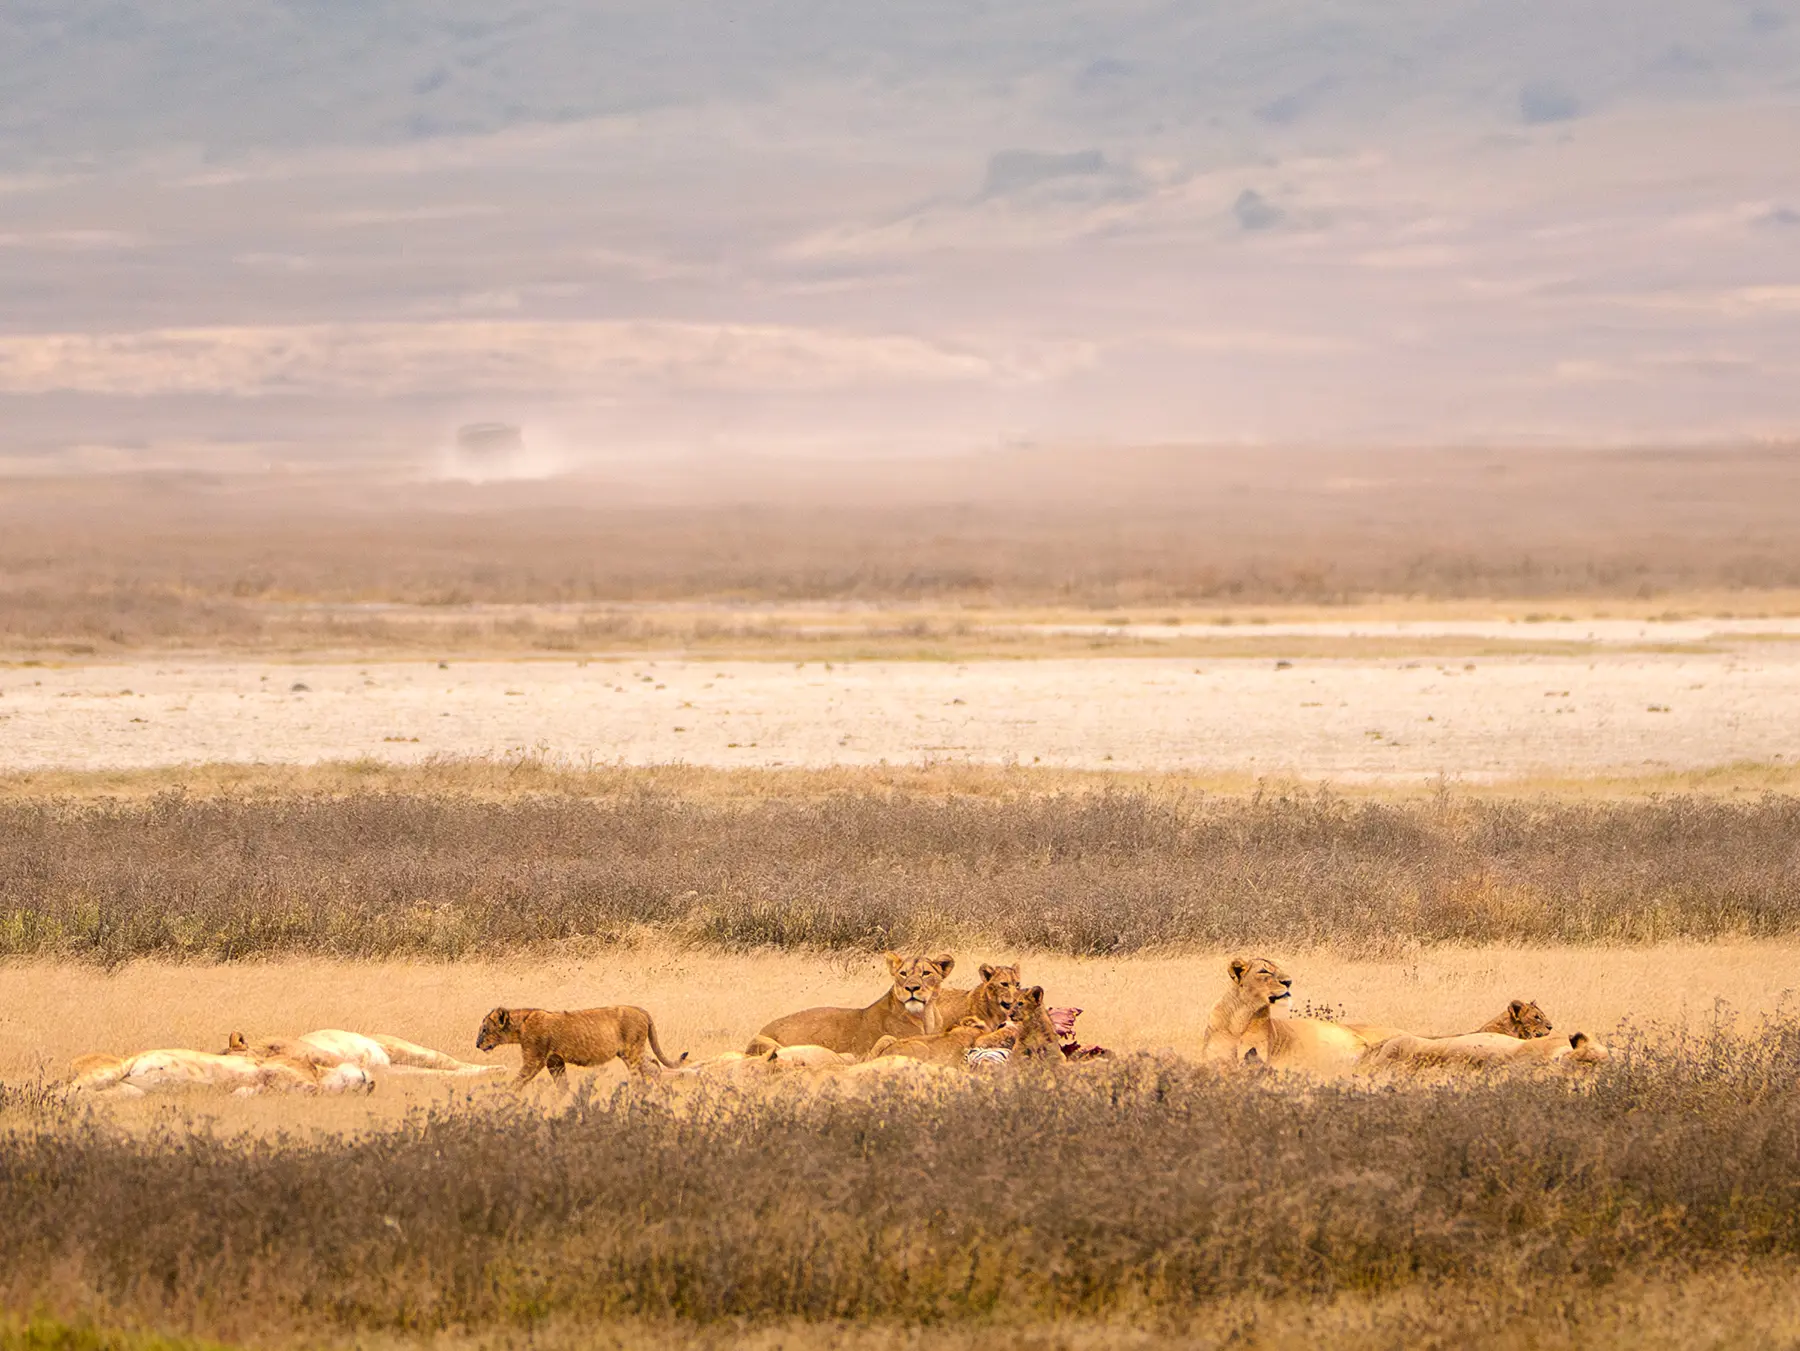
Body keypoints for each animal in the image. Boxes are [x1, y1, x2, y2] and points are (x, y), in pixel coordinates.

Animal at [474, 1005, 687, 1085]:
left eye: (484, 1029)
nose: (477, 1045)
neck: (521, 1025)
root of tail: (640, 1009)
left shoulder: (534, 1059)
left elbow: (518, 1081)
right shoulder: (554, 1061)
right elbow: (562, 1085)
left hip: (631, 1051)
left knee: (648, 1070)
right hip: (632, 1052)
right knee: (653, 1064)